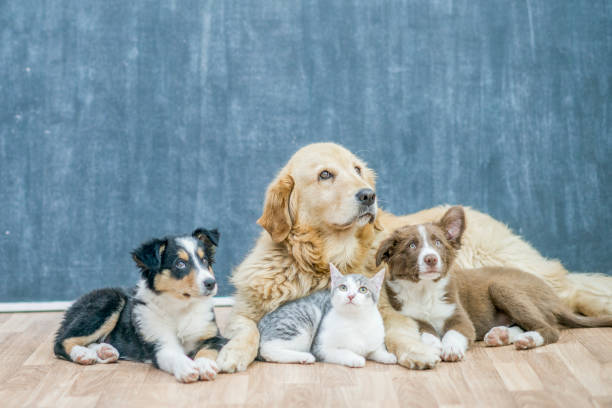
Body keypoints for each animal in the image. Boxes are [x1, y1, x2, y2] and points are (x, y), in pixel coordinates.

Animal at [53, 230, 226, 382]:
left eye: (205, 261)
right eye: (180, 264)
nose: (211, 283)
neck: (181, 307)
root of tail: (74, 305)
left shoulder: (215, 337)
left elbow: (206, 350)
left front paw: (204, 365)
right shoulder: (159, 344)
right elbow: (174, 356)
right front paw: (187, 368)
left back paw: (104, 351)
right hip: (109, 300)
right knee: (60, 342)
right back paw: (82, 354)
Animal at [256, 262, 396, 368]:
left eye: (363, 289)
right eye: (343, 287)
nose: (350, 296)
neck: (355, 320)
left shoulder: (375, 339)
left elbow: (376, 350)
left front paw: (388, 356)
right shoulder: (320, 348)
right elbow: (342, 352)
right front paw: (356, 358)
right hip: (301, 322)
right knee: (267, 349)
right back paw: (304, 357)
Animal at [372, 209, 612, 362]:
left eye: (438, 242)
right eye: (412, 245)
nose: (431, 259)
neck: (424, 290)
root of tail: (555, 299)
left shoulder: (461, 318)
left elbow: (454, 332)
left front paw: (450, 348)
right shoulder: (411, 316)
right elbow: (427, 332)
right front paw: (433, 346)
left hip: (502, 287)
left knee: (550, 328)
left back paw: (528, 339)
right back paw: (503, 335)